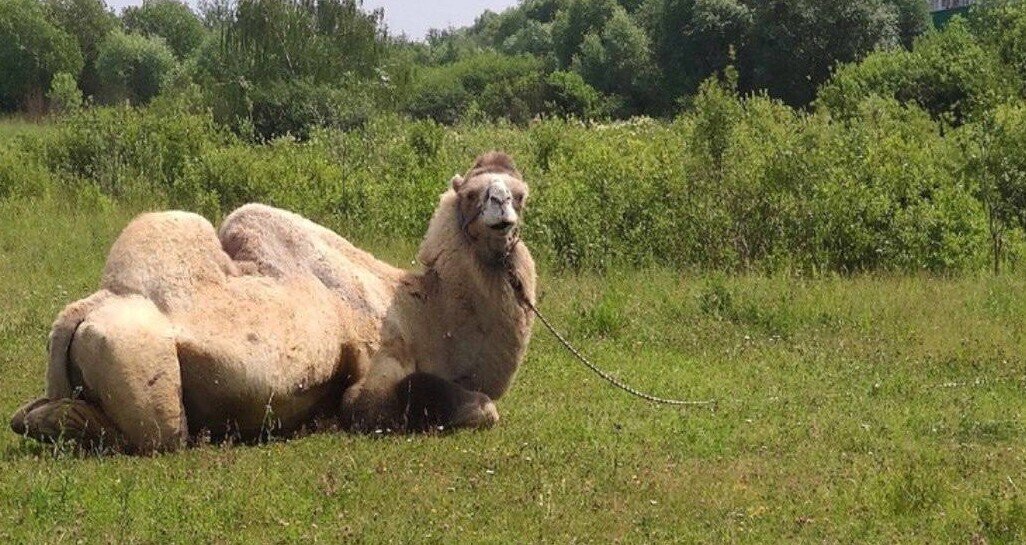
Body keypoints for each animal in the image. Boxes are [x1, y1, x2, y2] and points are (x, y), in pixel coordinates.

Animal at [10, 151, 537, 453]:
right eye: (472, 194)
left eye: (521, 195)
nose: (501, 213)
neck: (423, 308)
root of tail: (81, 311)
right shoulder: (375, 371)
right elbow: (474, 408)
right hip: (136, 366)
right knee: (159, 435)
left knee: (30, 416)